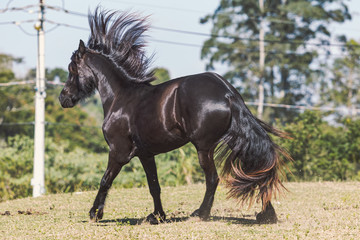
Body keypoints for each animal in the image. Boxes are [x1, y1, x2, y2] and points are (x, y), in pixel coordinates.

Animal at [58, 7, 290, 225]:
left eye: (72, 68)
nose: (63, 98)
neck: (120, 98)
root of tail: (227, 92)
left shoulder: (118, 151)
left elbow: (105, 180)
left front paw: (95, 214)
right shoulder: (146, 154)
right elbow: (154, 186)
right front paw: (157, 216)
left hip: (204, 146)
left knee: (213, 178)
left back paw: (201, 213)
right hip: (234, 140)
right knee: (256, 168)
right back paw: (266, 214)